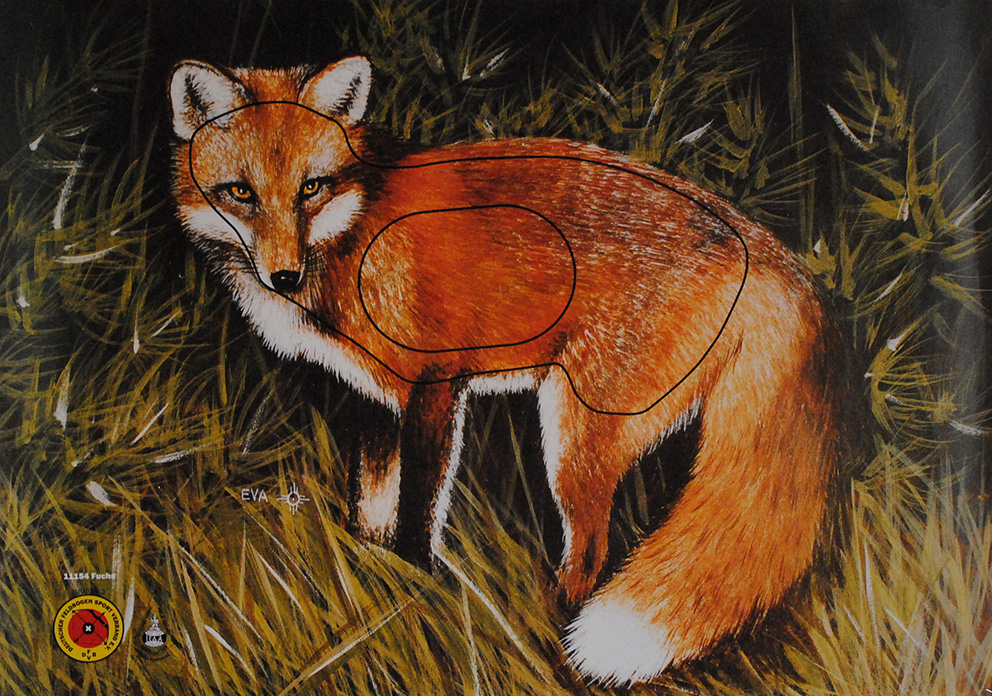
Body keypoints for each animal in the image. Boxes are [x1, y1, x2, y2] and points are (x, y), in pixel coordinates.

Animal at [168, 55, 844, 684]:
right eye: (240, 193)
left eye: (312, 187)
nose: (282, 276)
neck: (356, 234)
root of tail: (757, 239)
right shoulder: (374, 397)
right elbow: (369, 511)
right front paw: (373, 577)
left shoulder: (435, 385)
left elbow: (417, 510)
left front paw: (416, 585)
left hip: (573, 440)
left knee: (591, 554)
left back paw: (559, 645)